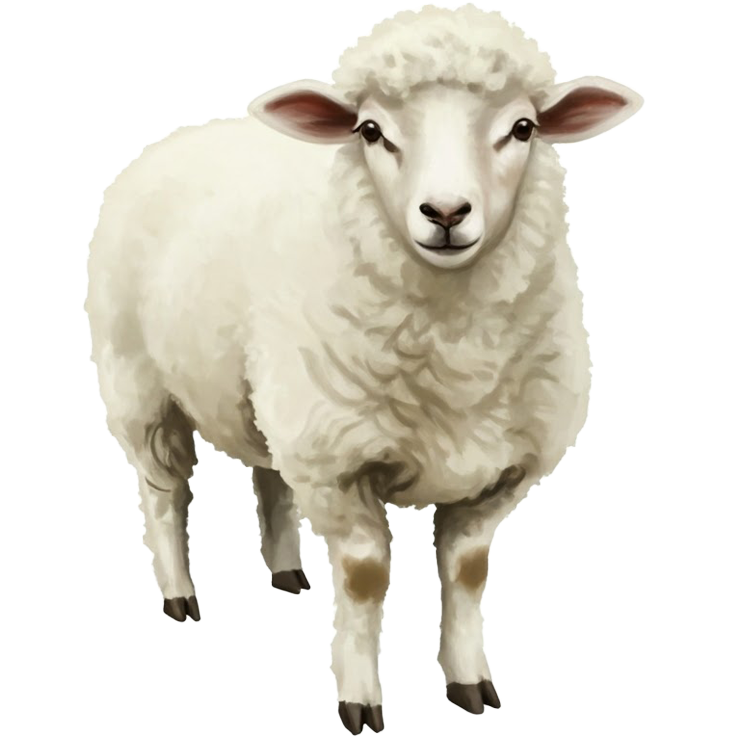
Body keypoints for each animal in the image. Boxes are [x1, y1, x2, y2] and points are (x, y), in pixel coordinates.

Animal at [84, 1, 645, 735]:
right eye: (371, 132)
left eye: (522, 128)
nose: (445, 212)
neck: (457, 354)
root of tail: (184, 133)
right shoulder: (340, 466)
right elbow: (365, 577)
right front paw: (360, 700)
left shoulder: (496, 473)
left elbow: (467, 571)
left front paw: (470, 682)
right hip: (140, 386)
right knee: (164, 490)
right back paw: (179, 595)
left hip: (280, 402)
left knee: (271, 480)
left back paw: (287, 575)